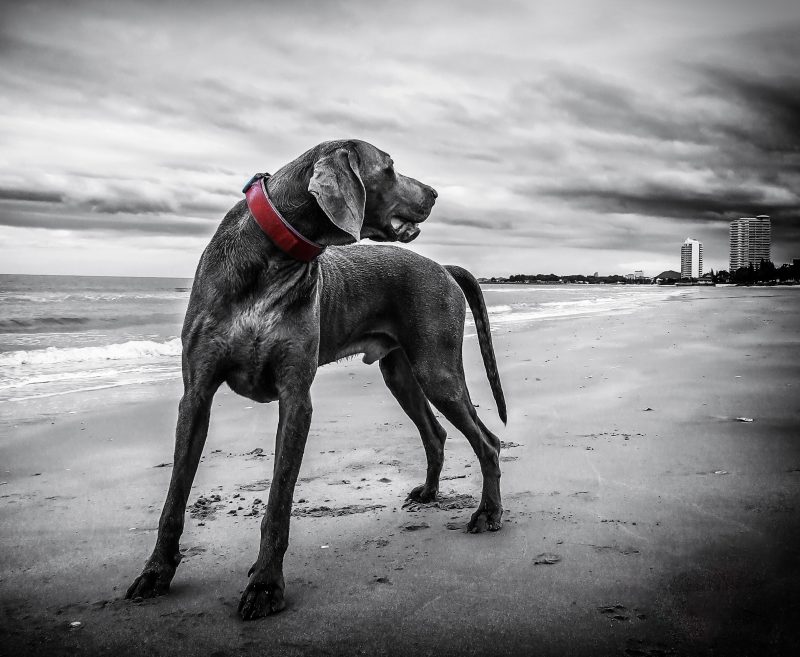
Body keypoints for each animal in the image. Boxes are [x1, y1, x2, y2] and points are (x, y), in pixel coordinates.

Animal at [129, 140, 510, 620]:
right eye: (390, 167)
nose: (435, 193)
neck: (273, 258)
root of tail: (442, 267)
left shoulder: (296, 399)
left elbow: (278, 502)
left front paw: (265, 586)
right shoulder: (196, 395)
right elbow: (175, 497)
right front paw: (156, 572)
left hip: (436, 369)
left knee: (488, 442)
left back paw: (488, 513)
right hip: (400, 372)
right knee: (436, 433)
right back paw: (428, 493)